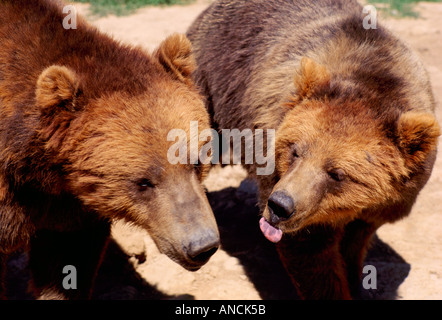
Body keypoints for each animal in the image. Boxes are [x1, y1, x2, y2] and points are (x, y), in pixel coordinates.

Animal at [188, 0, 440, 300]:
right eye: (295, 151)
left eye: (337, 173)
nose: (280, 205)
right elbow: (312, 254)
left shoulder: (382, 206)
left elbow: (354, 243)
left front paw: (355, 280)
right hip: (210, 78)